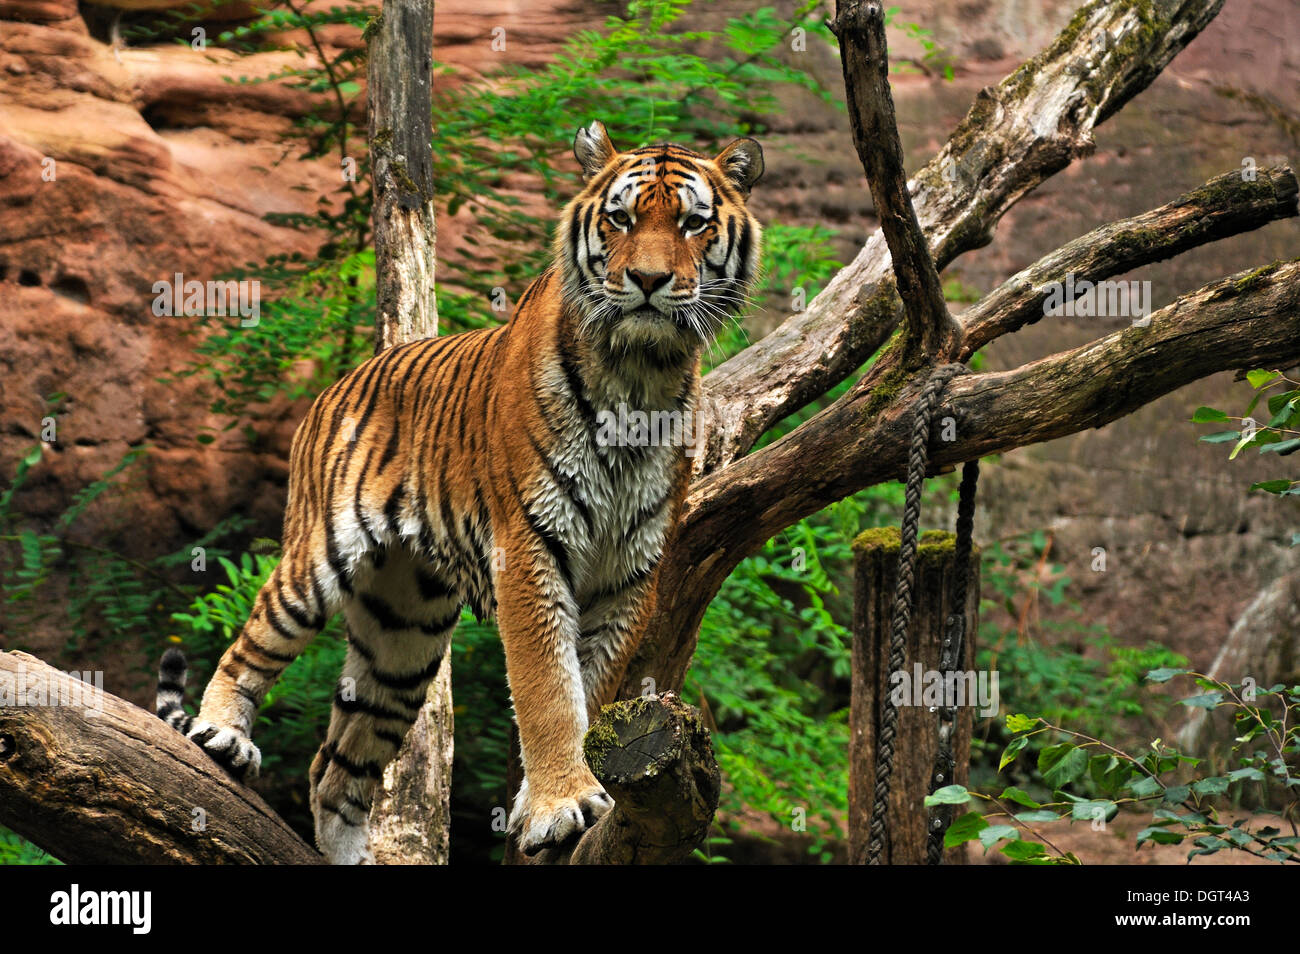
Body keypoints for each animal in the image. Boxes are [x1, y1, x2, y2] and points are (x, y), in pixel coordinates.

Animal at [154, 121, 759, 868]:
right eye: (620, 219)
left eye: (693, 224)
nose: (648, 281)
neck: (641, 377)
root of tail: (337, 383)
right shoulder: (530, 547)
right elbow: (547, 688)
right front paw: (561, 803)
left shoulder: (630, 573)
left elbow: (589, 688)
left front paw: (557, 799)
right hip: (316, 561)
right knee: (253, 646)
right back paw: (222, 734)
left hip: (402, 636)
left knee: (336, 767)